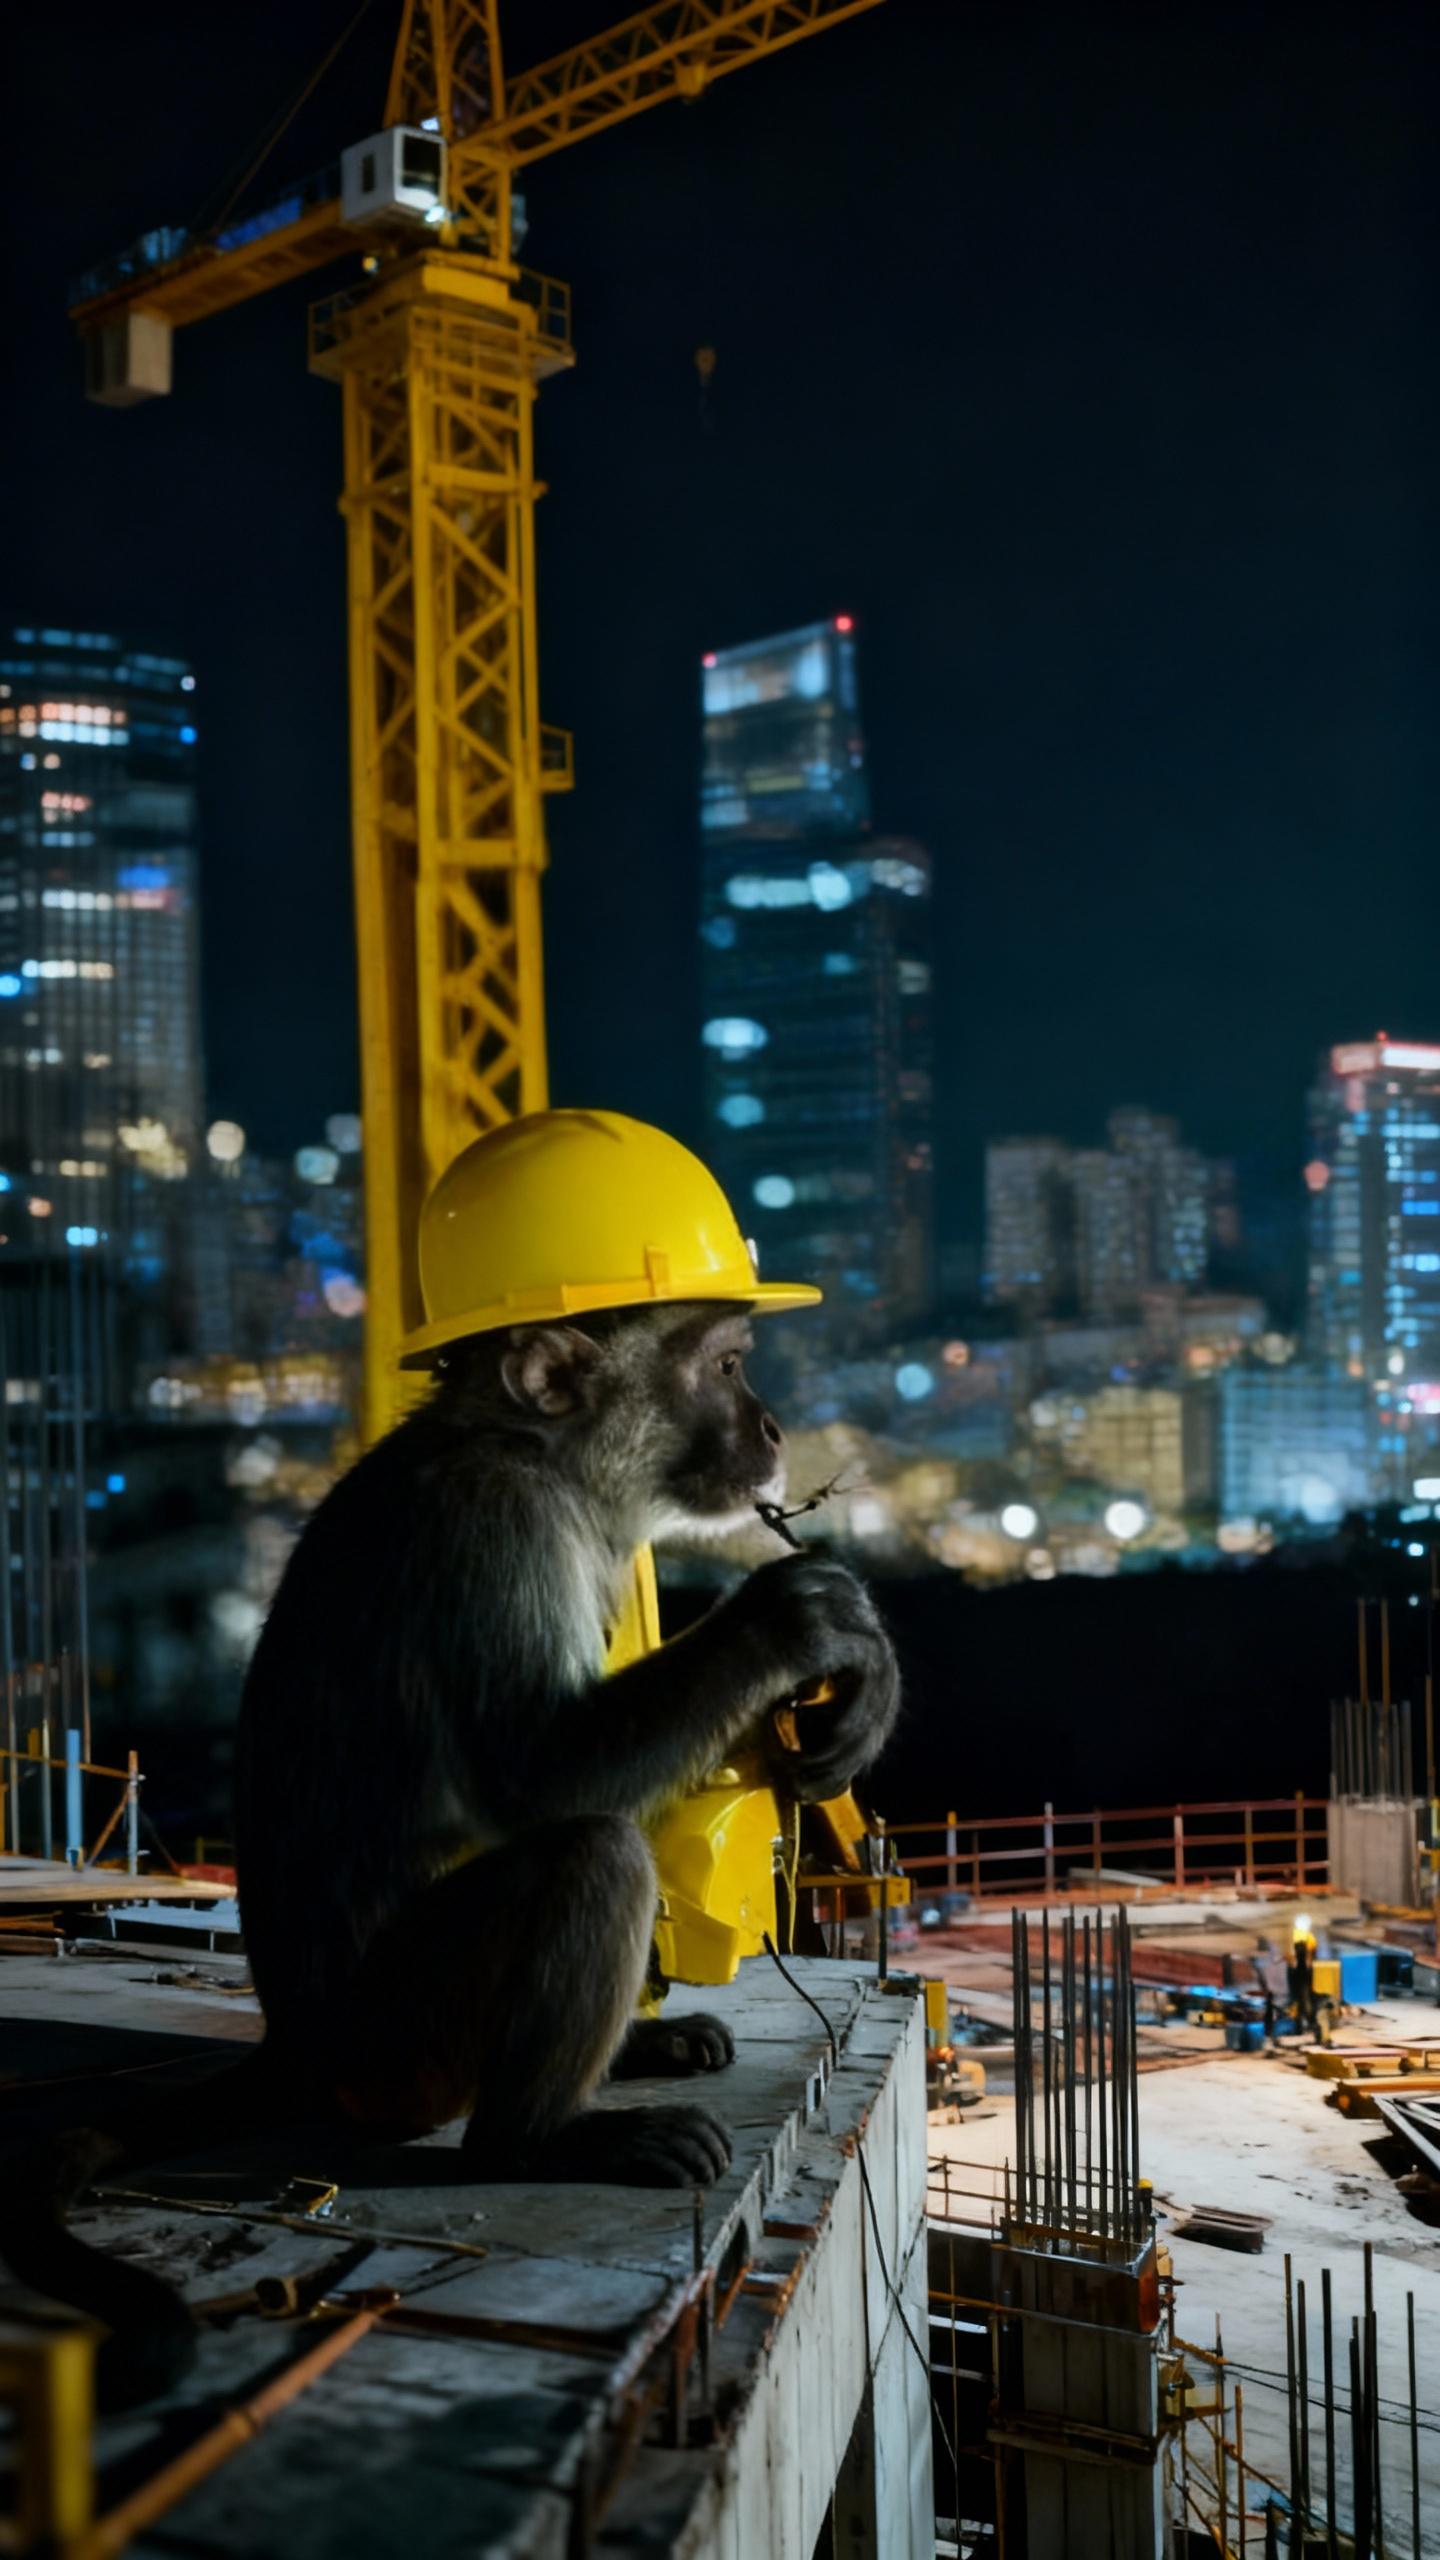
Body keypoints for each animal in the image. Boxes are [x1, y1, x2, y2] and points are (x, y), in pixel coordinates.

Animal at [0, 1299, 899, 2405]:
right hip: (394, 2043)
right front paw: (795, 1620)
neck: (536, 1452)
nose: (773, 1429)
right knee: (592, 1852)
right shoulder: (498, 1523)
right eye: (726, 1366)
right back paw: (532, 2140)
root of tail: (296, 2045)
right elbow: (535, 1771)